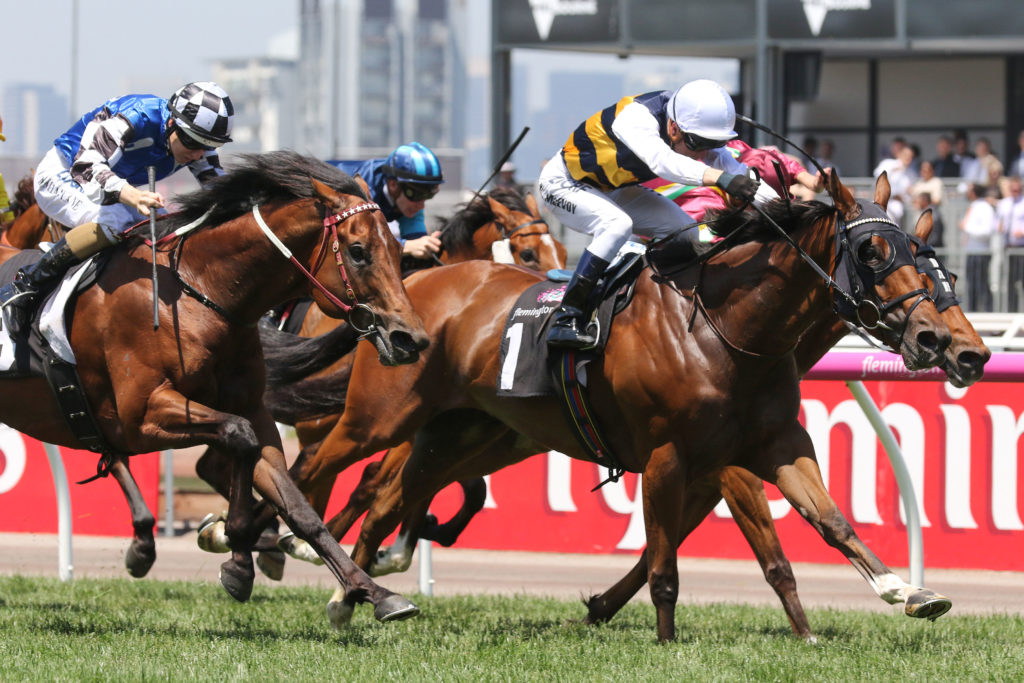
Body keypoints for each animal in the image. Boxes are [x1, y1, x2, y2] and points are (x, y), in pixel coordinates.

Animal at [0, 150, 429, 623]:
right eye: (358, 252)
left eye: (398, 250)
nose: (410, 339)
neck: (202, 292)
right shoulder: (139, 417)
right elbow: (235, 435)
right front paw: (234, 548)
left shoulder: (254, 413)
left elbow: (296, 503)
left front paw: (372, 592)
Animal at [255, 169, 954, 633]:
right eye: (870, 250)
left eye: (923, 256)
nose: (936, 338)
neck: (727, 329)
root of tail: (410, 292)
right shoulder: (672, 454)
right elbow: (668, 563)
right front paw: (668, 646)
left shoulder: (775, 444)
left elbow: (830, 519)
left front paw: (907, 591)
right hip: (376, 418)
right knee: (311, 470)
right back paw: (259, 546)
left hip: (461, 432)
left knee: (384, 500)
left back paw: (351, 597)